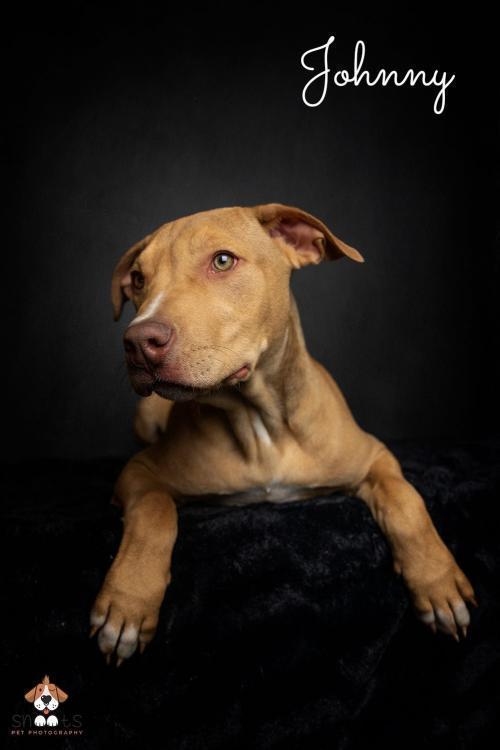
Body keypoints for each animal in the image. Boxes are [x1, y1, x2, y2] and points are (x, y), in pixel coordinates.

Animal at [90, 204, 476, 664]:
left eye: (223, 260)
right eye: (138, 279)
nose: (138, 341)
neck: (260, 424)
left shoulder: (376, 458)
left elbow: (407, 501)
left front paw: (438, 582)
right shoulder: (140, 472)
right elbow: (153, 512)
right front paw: (128, 603)